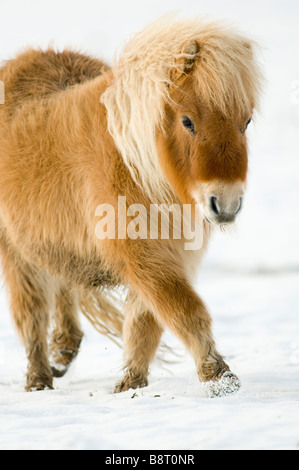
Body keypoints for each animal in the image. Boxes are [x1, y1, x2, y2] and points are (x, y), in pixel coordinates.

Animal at [0, 15, 262, 392]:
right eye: (187, 121)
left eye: (247, 120)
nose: (225, 204)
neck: (130, 163)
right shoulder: (142, 255)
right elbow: (183, 310)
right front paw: (218, 376)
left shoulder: (169, 254)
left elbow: (144, 322)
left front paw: (131, 383)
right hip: (15, 252)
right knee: (31, 313)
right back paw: (39, 379)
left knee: (63, 283)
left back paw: (62, 352)